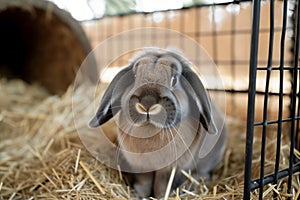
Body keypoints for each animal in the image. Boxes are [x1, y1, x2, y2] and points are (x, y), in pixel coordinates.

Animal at [90, 47, 226, 198]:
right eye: (135, 76)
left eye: (174, 80)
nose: (147, 103)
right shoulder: (142, 168)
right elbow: (144, 183)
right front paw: (140, 195)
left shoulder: (169, 170)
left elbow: (162, 186)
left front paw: (161, 197)